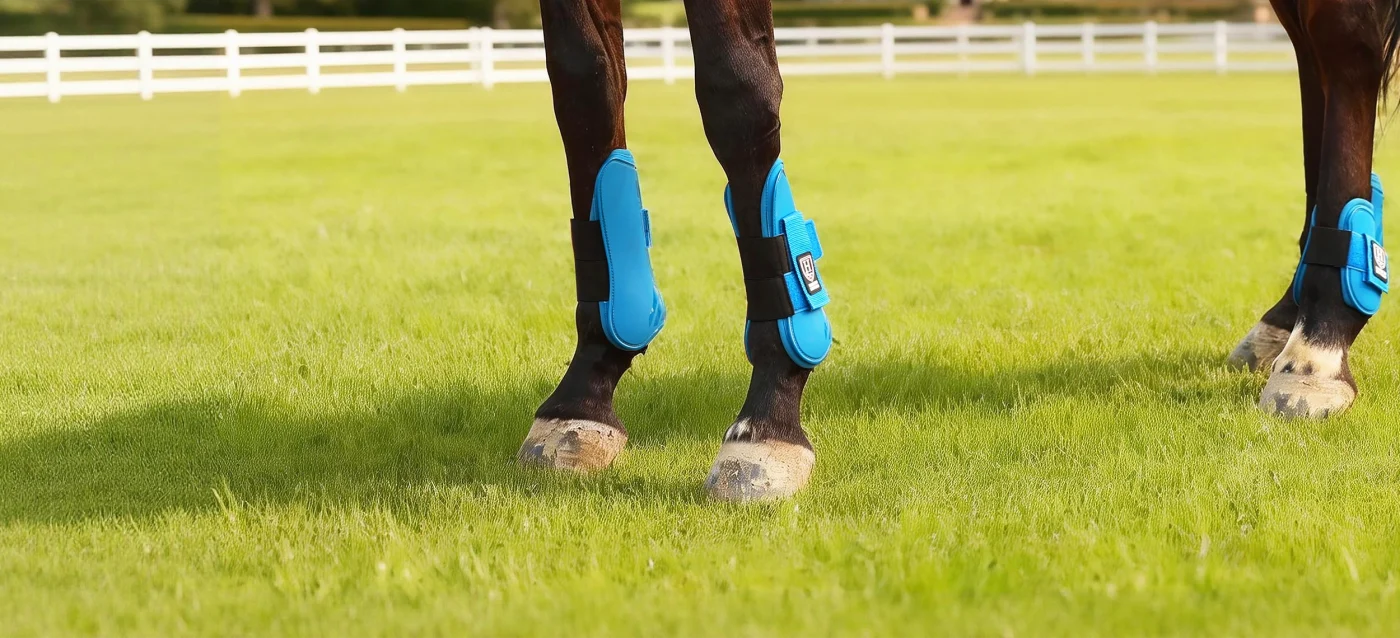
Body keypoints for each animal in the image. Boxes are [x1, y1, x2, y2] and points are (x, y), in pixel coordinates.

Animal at [518, 0, 1400, 501]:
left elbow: (737, 97)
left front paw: (768, 417)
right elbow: (583, 94)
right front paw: (584, 394)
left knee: (1344, 48)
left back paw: (1321, 346)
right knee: (1314, 60)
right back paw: (1288, 319)